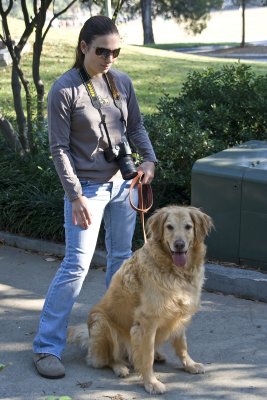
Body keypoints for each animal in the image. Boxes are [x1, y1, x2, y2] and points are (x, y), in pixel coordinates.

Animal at [68, 206, 214, 394]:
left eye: (188, 227)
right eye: (169, 227)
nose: (179, 245)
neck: (175, 272)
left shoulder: (179, 313)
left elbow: (182, 345)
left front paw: (190, 365)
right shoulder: (147, 322)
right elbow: (146, 356)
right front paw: (151, 383)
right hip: (102, 324)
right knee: (108, 359)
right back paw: (120, 367)